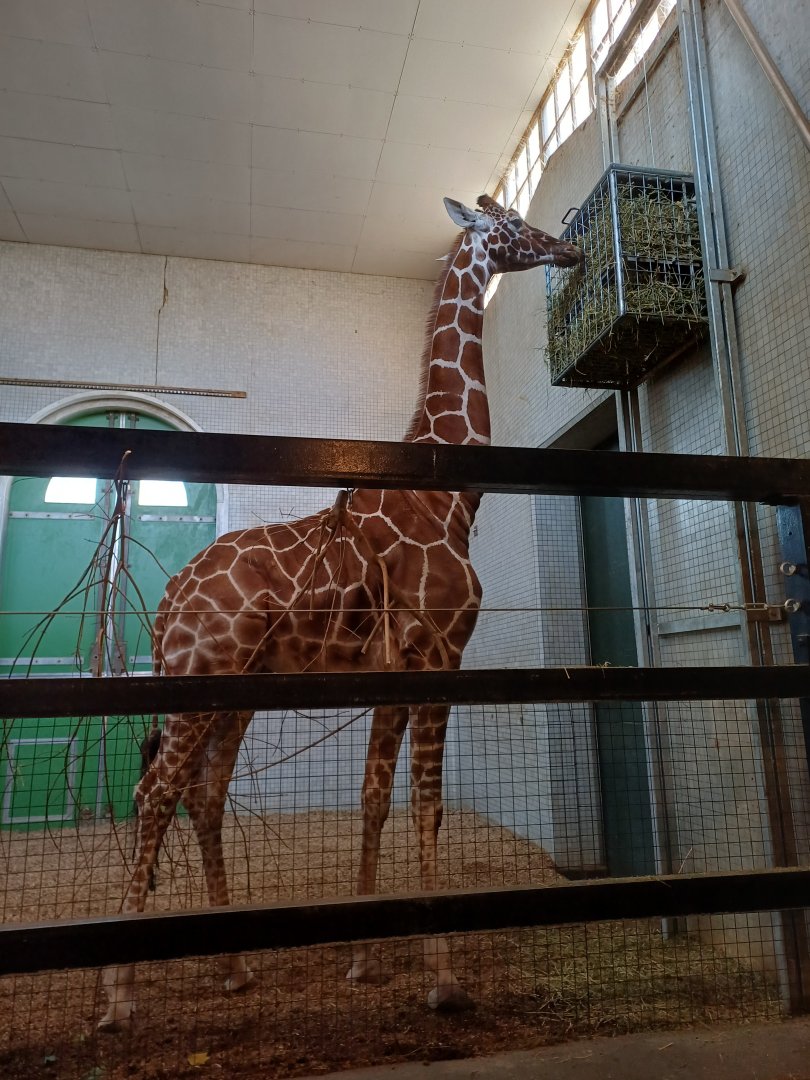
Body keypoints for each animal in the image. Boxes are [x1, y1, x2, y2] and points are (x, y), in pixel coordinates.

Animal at [98, 194, 582, 1032]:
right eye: (511, 224)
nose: (570, 249)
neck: (450, 495)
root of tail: (165, 607)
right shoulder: (440, 653)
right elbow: (426, 806)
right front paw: (443, 979)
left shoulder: (397, 666)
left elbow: (375, 799)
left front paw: (362, 958)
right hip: (199, 674)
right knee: (155, 790)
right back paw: (122, 995)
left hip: (235, 691)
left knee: (202, 794)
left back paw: (234, 969)